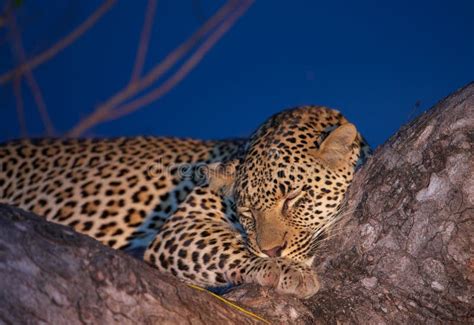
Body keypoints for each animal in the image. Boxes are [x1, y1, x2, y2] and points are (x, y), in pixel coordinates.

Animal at [0, 105, 370, 298]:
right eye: (247, 211)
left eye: (293, 197)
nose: (271, 251)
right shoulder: (182, 225)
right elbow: (229, 244)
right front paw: (284, 268)